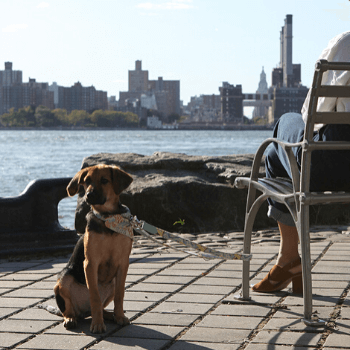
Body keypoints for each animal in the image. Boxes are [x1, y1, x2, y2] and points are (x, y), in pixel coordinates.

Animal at [54, 164, 133, 334]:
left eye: (104, 180)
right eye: (87, 181)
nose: (88, 195)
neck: (108, 218)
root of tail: (83, 312)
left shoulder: (123, 263)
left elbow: (120, 294)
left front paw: (120, 316)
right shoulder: (90, 263)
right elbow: (95, 296)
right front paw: (97, 325)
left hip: (112, 281)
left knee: (102, 305)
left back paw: (109, 315)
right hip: (63, 279)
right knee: (70, 310)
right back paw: (71, 319)